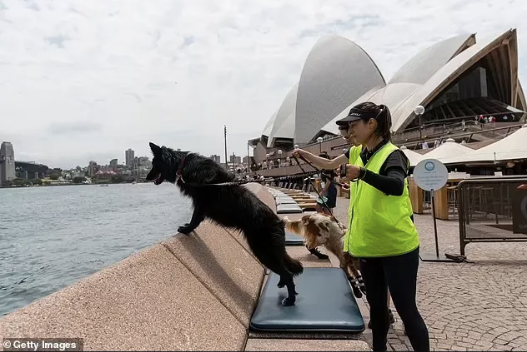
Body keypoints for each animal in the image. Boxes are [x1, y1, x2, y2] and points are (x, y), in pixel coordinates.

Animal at [146, 142, 304, 306]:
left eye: (154, 164)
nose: (146, 178)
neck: (182, 164)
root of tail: (279, 222)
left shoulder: (200, 203)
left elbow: (195, 219)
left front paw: (186, 229)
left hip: (264, 252)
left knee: (288, 274)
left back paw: (290, 299)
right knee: (286, 270)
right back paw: (281, 284)